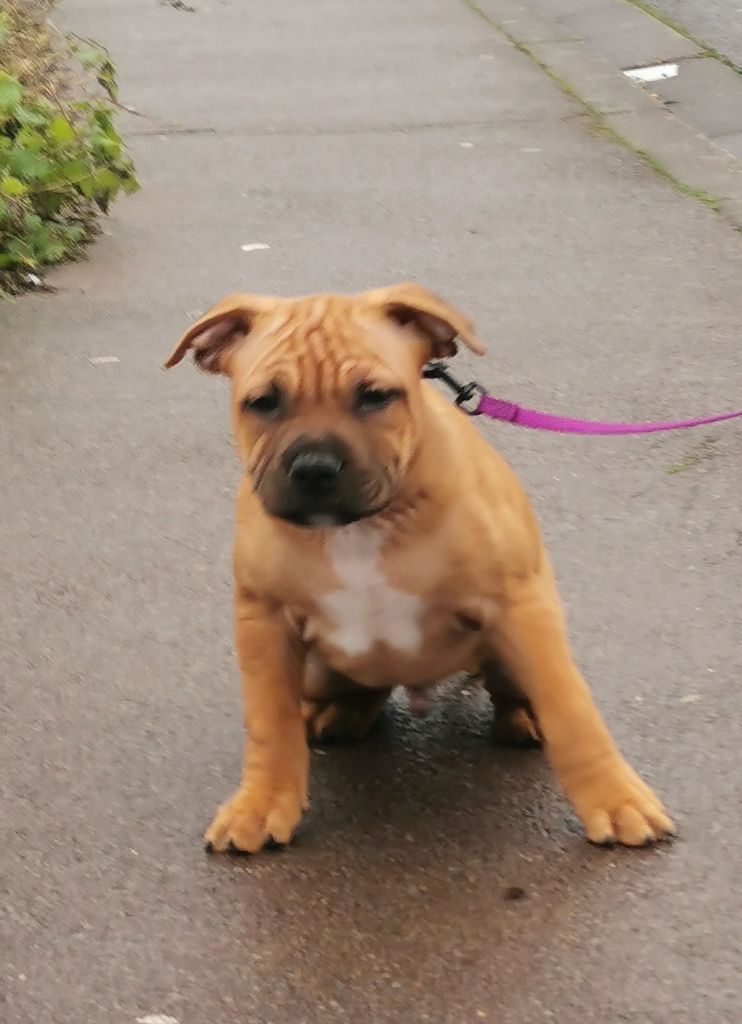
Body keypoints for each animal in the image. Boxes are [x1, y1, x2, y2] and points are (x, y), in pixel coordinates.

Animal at [165, 283, 674, 853]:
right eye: (263, 403)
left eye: (375, 396)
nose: (315, 467)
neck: (360, 528)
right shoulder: (263, 621)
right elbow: (268, 723)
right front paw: (259, 803)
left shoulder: (519, 604)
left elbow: (574, 712)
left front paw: (615, 799)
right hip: (316, 671)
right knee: (358, 691)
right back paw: (337, 713)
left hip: (514, 638)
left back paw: (521, 716)